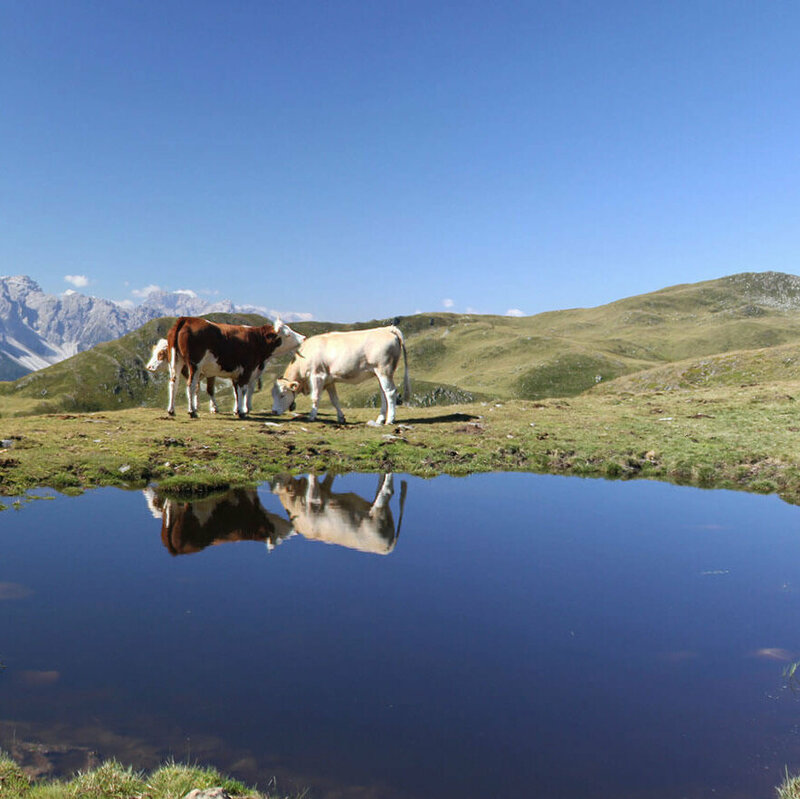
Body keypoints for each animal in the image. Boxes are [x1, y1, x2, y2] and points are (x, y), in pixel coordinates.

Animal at [270, 472, 406, 555]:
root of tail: (388, 548)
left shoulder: (315, 500)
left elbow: (312, 484)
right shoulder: (325, 489)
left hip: (378, 516)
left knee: (387, 491)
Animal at [271, 326, 410, 425]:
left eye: (282, 395)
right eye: (273, 395)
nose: (273, 411)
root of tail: (387, 329)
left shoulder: (317, 376)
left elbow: (315, 397)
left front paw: (311, 416)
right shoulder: (329, 381)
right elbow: (334, 400)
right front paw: (341, 417)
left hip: (384, 370)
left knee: (390, 392)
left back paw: (390, 420)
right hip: (379, 373)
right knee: (383, 394)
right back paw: (380, 419)